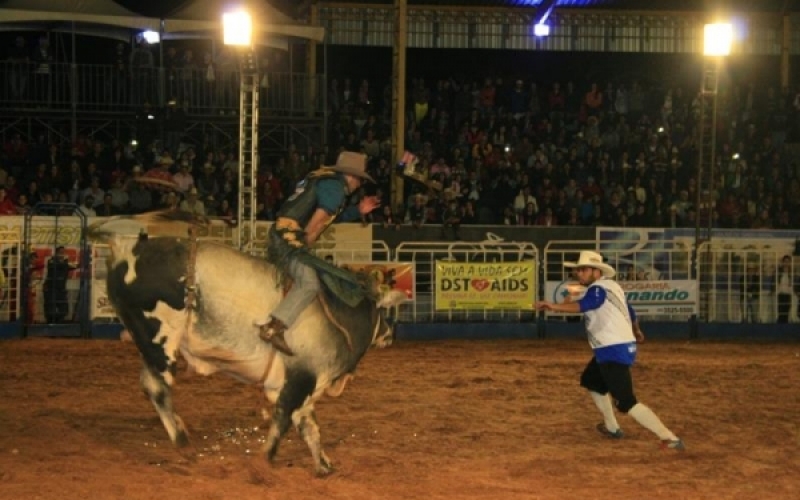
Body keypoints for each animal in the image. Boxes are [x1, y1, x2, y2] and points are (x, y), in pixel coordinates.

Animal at [89, 215, 406, 476]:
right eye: (383, 312)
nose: (390, 333)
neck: (340, 314)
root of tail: (127, 247)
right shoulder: (300, 380)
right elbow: (284, 419)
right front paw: (266, 458)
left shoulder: (304, 385)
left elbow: (309, 427)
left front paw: (324, 465)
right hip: (161, 339)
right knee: (157, 386)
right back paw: (182, 439)